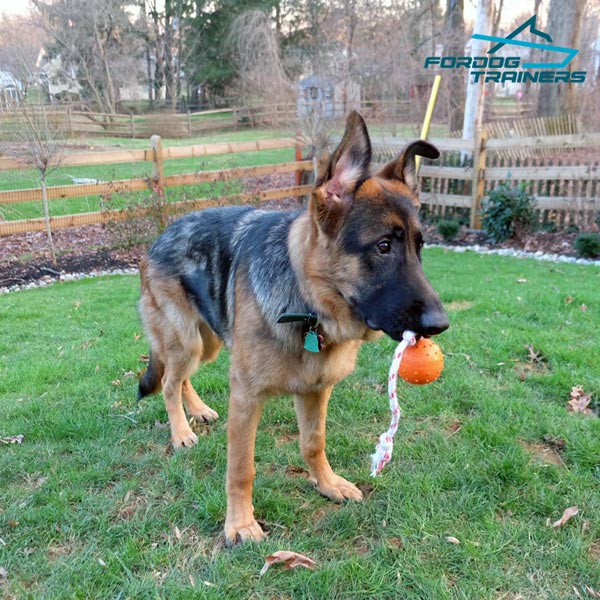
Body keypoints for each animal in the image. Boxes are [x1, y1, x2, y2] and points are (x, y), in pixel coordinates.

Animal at [138, 110, 448, 548]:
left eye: (419, 248)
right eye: (384, 246)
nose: (440, 324)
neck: (308, 305)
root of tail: (161, 235)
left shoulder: (316, 389)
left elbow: (313, 443)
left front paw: (327, 483)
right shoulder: (246, 397)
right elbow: (241, 467)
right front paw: (240, 523)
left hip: (208, 340)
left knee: (182, 379)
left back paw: (196, 410)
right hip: (186, 340)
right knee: (168, 382)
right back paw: (181, 431)